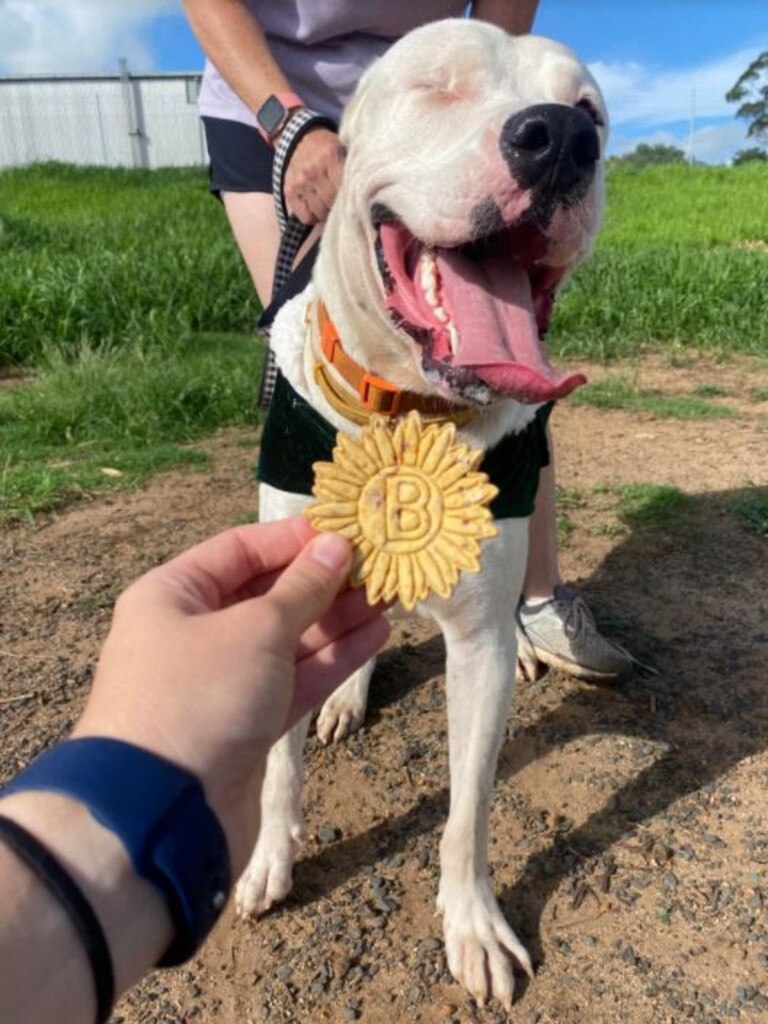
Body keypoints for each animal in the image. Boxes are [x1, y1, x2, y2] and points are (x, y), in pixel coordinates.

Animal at [234, 19, 606, 1011]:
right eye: (437, 84)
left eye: (591, 109)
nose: (560, 137)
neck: (405, 411)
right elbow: (277, 765)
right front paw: (269, 860)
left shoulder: (474, 644)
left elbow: (468, 807)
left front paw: (473, 925)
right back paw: (344, 696)